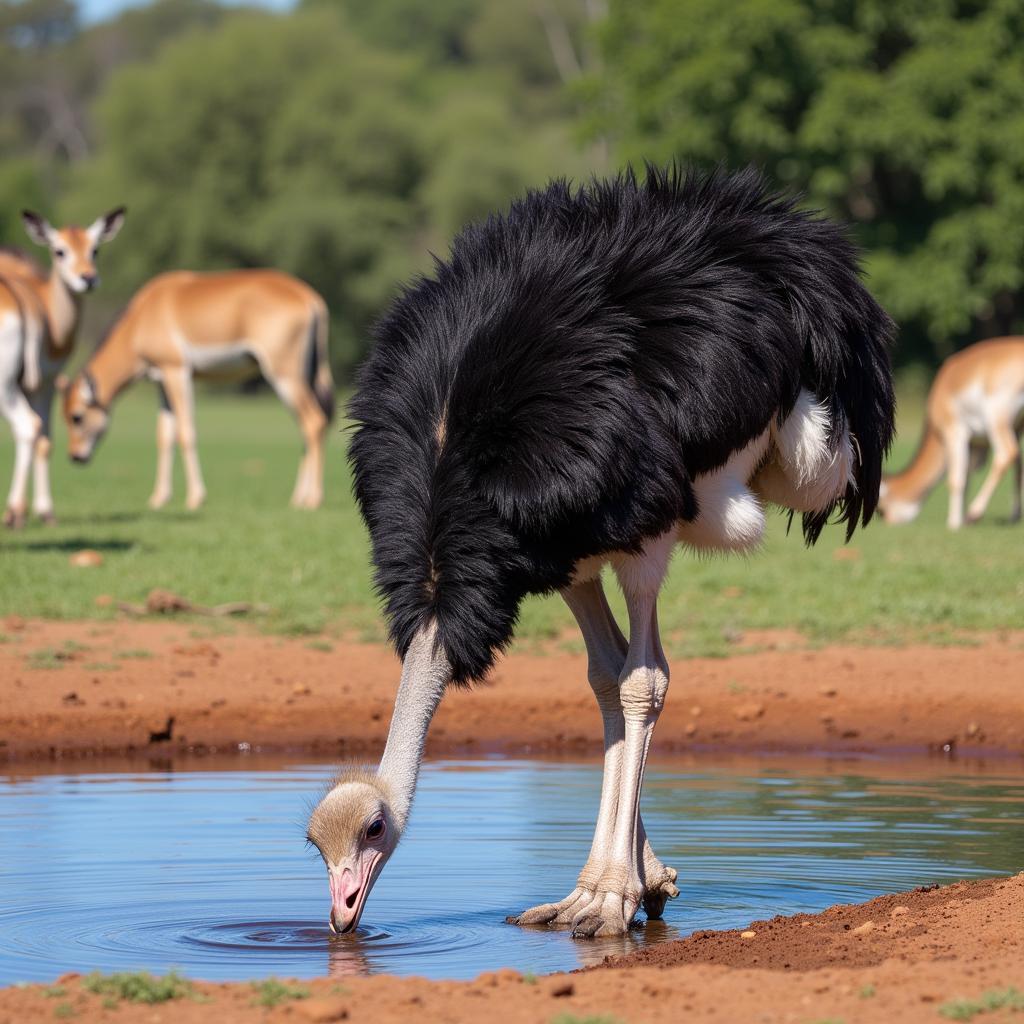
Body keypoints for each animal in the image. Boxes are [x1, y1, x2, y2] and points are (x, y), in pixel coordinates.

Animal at [0, 207, 124, 528]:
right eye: (60, 251)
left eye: (95, 250)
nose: (88, 278)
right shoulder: (45, 382)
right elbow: (44, 440)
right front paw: (41, 511)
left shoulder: (41, 383)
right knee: (34, 431)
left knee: (28, 427)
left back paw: (15, 512)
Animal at [62, 270, 335, 509]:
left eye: (77, 417)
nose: (75, 456)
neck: (139, 322)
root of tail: (308, 296)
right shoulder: (162, 382)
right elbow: (164, 436)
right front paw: (159, 498)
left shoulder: (177, 372)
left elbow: (185, 432)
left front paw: (195, 498)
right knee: (306, 429)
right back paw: (298, 498)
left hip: (284, 375)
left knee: (314, 421)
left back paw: (313, 499)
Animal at [872, 337, 1024, 528]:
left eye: (881, 511)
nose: (889, 523)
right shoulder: (984, 442)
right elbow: (970, 476)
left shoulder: (954, 432)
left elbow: (955, 479)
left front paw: (954, 522)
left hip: (996, 417)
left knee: (1006, 454)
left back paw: (974, 513)